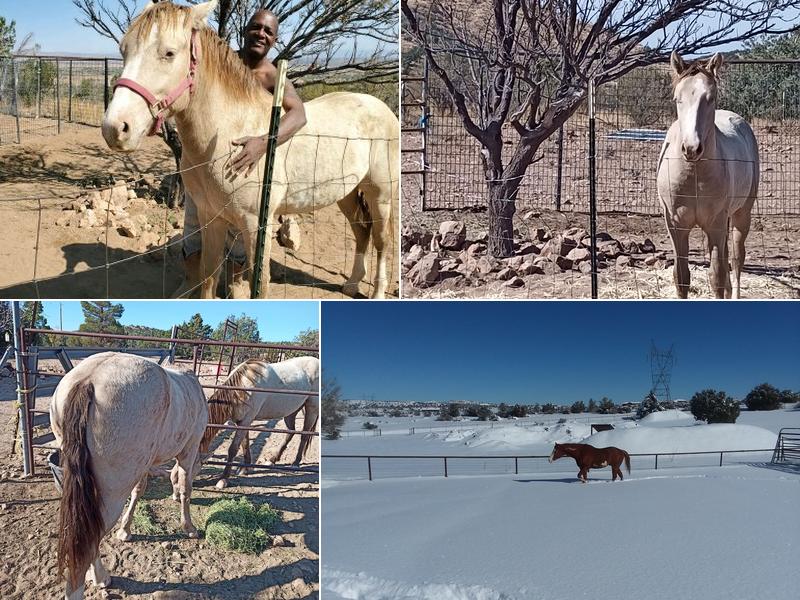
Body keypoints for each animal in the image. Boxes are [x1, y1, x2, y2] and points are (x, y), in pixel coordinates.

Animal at [49, 352, 208, 600]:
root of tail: (89, 379)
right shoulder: (188, 452)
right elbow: (185, 487)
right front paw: (189, 527)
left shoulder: (143, 464)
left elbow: (138, 490)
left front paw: (125, 530)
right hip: (112, 496)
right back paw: (98, 579)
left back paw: (98, 575)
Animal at [102, 0, 398, 299]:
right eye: (124, 49)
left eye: (169, 53)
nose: (115, 128)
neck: (227, 135)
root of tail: (384, 109)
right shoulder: (211, 218)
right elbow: (208, 275)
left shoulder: (256, 224)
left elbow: (261, 282)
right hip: (347, 193)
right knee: (361, 232)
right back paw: (352, 283)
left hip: (380, 194)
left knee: (382, 240)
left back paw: (378, 292)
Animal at [201, 355, 319, 489]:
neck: (242, 388)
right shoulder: (241, 422)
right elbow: (245, 444)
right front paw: (245, 468)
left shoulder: (246, 421)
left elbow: (233, 449)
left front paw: (223, 479)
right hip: (291, 411)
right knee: (290, 432)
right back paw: (272, 460)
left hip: (311, 410)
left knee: (304, 436)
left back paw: (295, 463)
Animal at [656, 51, 759, 299]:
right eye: (677, 99)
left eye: (710, 98)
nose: (692, 148)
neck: (693, 176)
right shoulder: (676, 227)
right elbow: (682, 278)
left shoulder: (715, 225)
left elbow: (717, 278)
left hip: (741, 215)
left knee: (736, 260)